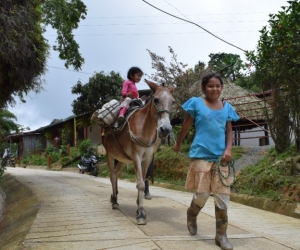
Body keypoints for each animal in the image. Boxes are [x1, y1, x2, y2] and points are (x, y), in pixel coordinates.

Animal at [102, 80, 175, 225]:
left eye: (173, 102)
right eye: (156, 100)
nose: (165, 129)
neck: (146, 128)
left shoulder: (148, 157)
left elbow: (143, 179)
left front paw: (138, 207)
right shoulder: (136, 156)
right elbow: (140, 184)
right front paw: (141, 213)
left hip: (122, 159)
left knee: (116, 174)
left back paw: (114, 197)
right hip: (110, 155)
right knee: (112, 176)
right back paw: (115, 202)